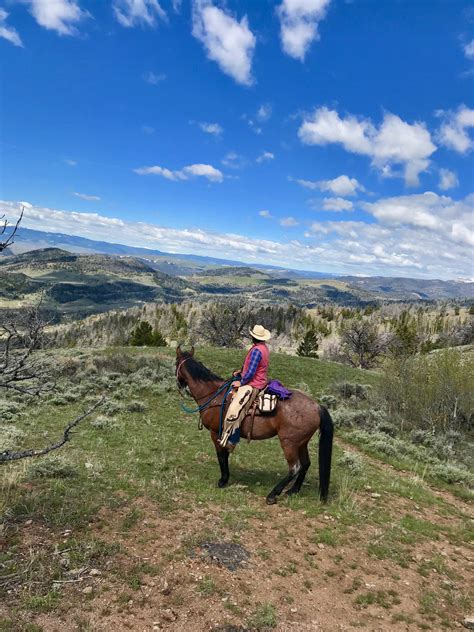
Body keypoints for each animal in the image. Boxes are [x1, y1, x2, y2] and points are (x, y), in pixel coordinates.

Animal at [174, 346, 334, 504]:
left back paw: (273, 495)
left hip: (289, 443)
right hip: (301, 443)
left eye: (175, 362)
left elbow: (221, 455)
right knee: (306, 464)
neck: (213, 395)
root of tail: (316, 406)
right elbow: (225, 454)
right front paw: (226, 478)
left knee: (295, 467)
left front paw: (223, 480)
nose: (179, 385)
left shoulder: (215, 433)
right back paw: (293, 491)